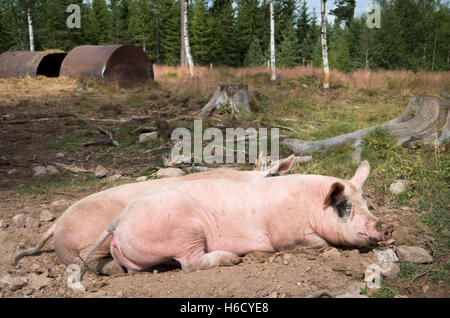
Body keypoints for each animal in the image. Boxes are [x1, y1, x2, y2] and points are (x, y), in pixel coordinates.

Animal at [83, 160, 394, 274]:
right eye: (346, 207)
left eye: (366, 203)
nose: (388, 228)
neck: (311, 206)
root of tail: (119, 220)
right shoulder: (286, 235)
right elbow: (318, 243)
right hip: (184, 233)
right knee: (191, 264)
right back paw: (234, 260)